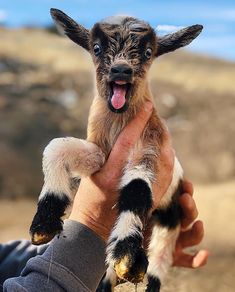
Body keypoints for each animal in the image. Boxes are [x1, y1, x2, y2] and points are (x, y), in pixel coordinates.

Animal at [29, 9, 202, 292]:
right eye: (97, 48)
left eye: (148, 52)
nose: (121, 70)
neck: (119, 122)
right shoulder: (100, 153)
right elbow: (56, 147)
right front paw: (44, 222)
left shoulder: (149, 150)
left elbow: (138, 187)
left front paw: (127, 255)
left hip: (170, 220)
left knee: (160, 257)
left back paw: (144, 275)